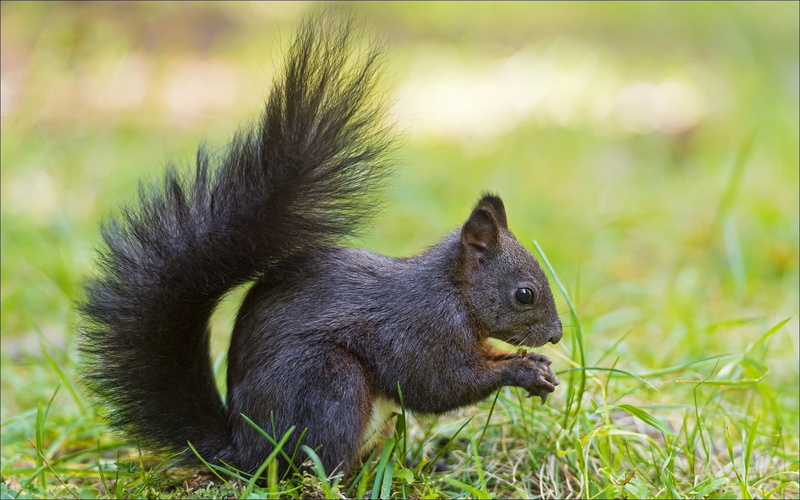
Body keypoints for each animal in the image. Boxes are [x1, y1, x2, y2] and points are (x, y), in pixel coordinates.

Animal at [77, 15, 563, 479]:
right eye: (524, 294)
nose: (557, 334)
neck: (454, 291)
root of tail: (246, 453)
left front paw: (533, 362)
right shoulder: (421, 331)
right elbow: (439, 385)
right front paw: (521, 370)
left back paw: (421, 464)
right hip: (331, 384)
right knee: (319, 465)